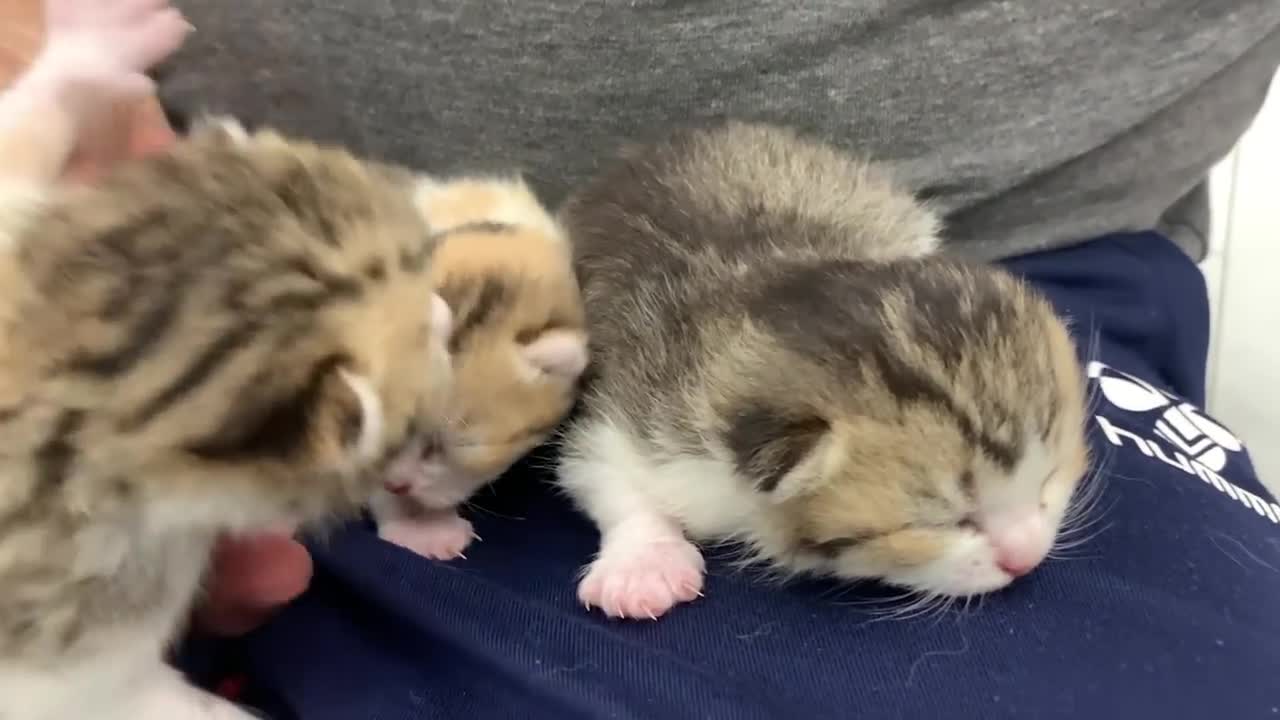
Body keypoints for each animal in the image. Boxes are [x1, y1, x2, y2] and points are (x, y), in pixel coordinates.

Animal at [555, 121, 1085, 617]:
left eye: (1048, 479)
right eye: (945, 521)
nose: (1026, 558)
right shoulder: (645, 412)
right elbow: (597, 466)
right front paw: (642, 569)